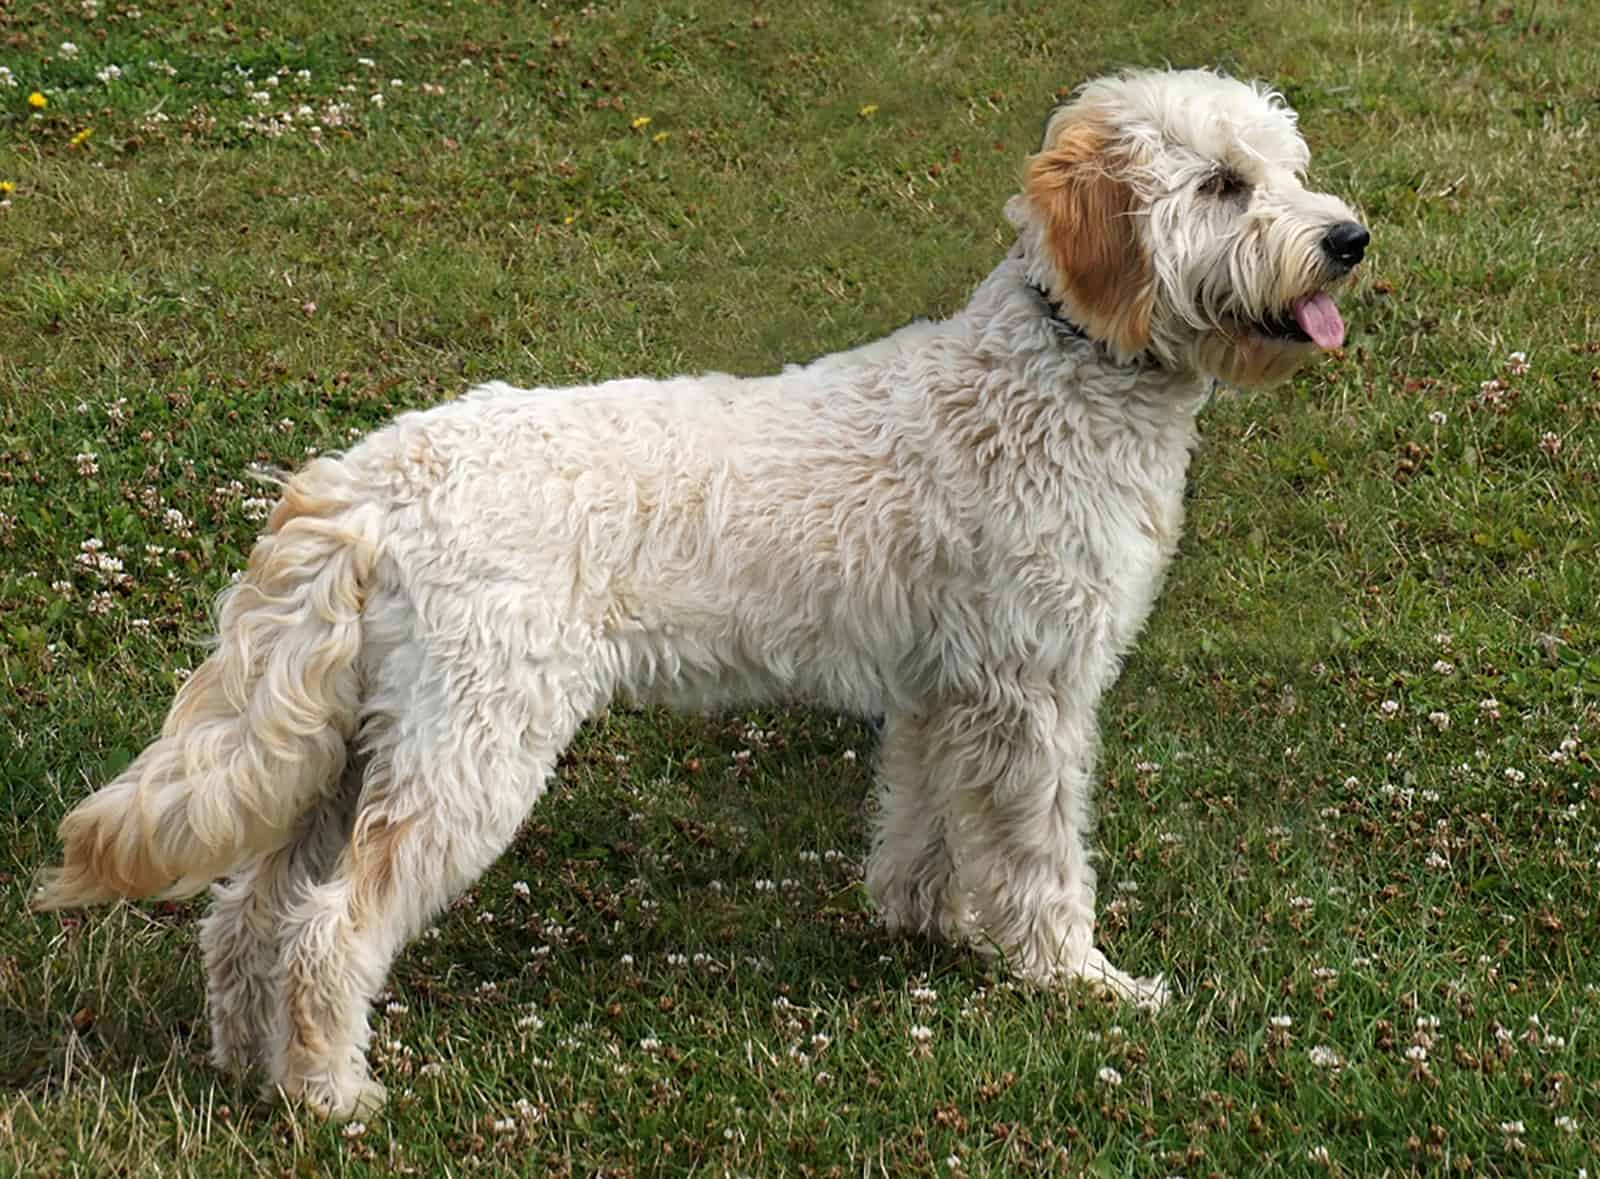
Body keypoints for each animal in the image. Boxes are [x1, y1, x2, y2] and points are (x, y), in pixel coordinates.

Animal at [37, 68, 1363, 1119]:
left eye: (1289, 170)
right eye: (1223, 185)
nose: (1349, 238)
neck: (1064, 365)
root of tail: (372, 478)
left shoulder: (944, 689)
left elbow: (921, 822)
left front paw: (927, 928)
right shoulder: (1032, 689)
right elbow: (1041, 857)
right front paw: (1076, 978)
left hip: (351, 747)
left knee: (247, 912)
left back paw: (241, 1066)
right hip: (472, 749)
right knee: (326, 928)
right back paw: (330, 1096)